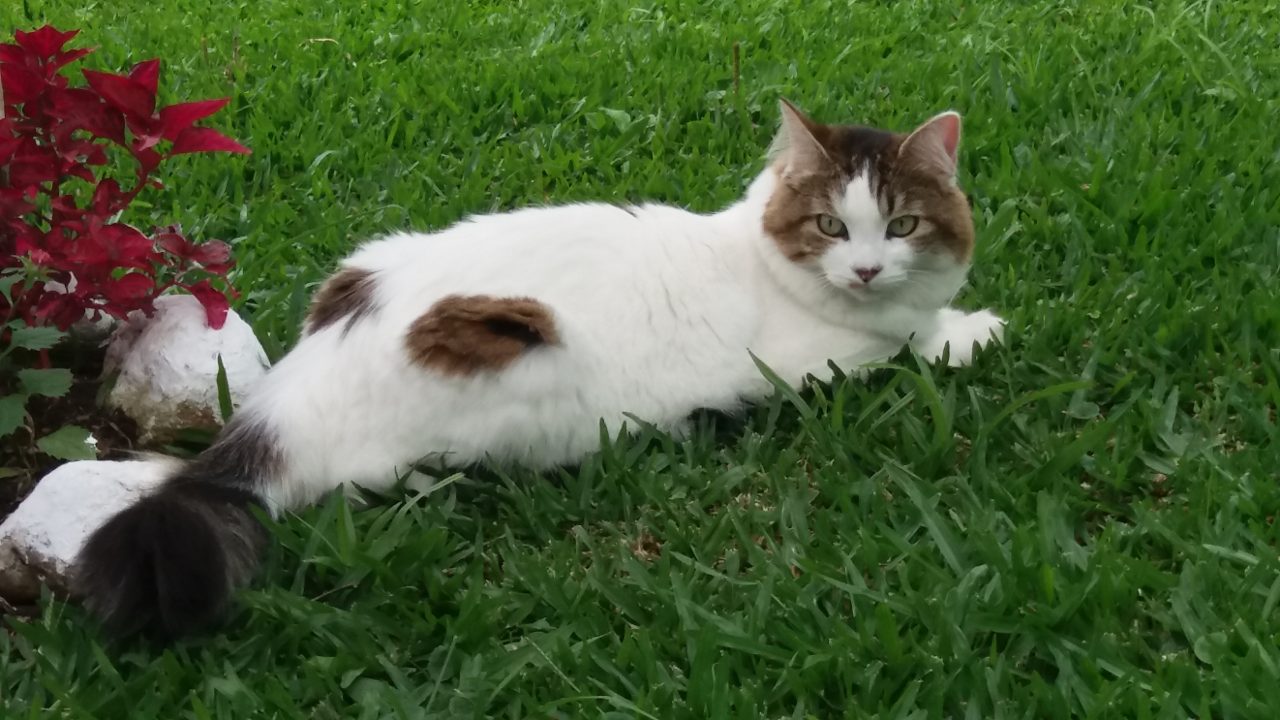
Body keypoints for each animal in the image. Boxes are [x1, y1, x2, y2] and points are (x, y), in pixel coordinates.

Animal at [74, 96, 1003, 638]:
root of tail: (283, 401)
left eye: (903, 226)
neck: (760, 259)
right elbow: (915, 344)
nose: (868, 270)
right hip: (524, 361)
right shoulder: (818, 361)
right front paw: (971, 330)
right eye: (830, 227)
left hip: (368, 260)